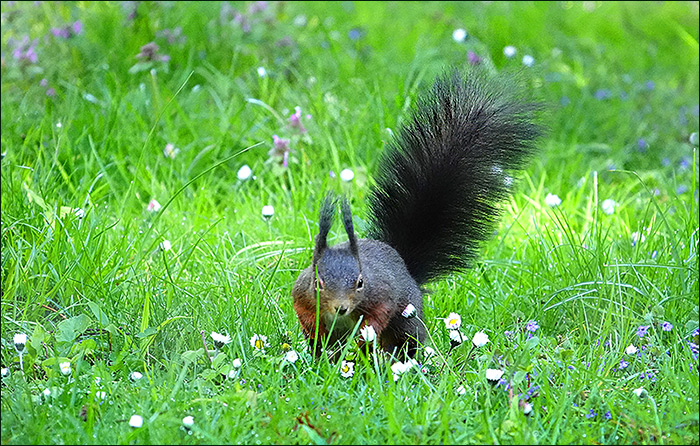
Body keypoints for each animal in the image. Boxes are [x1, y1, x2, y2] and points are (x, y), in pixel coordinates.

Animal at [292, 70, 543, 360]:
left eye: (360, 282)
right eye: (317, 283)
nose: (341, 308)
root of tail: (406, 266)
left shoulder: (383, 295)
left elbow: (380, 314)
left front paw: (365, 333)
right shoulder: (301, 295)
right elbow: (304, 313)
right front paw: (314, 325)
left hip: (407, 319)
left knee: (403, 341)